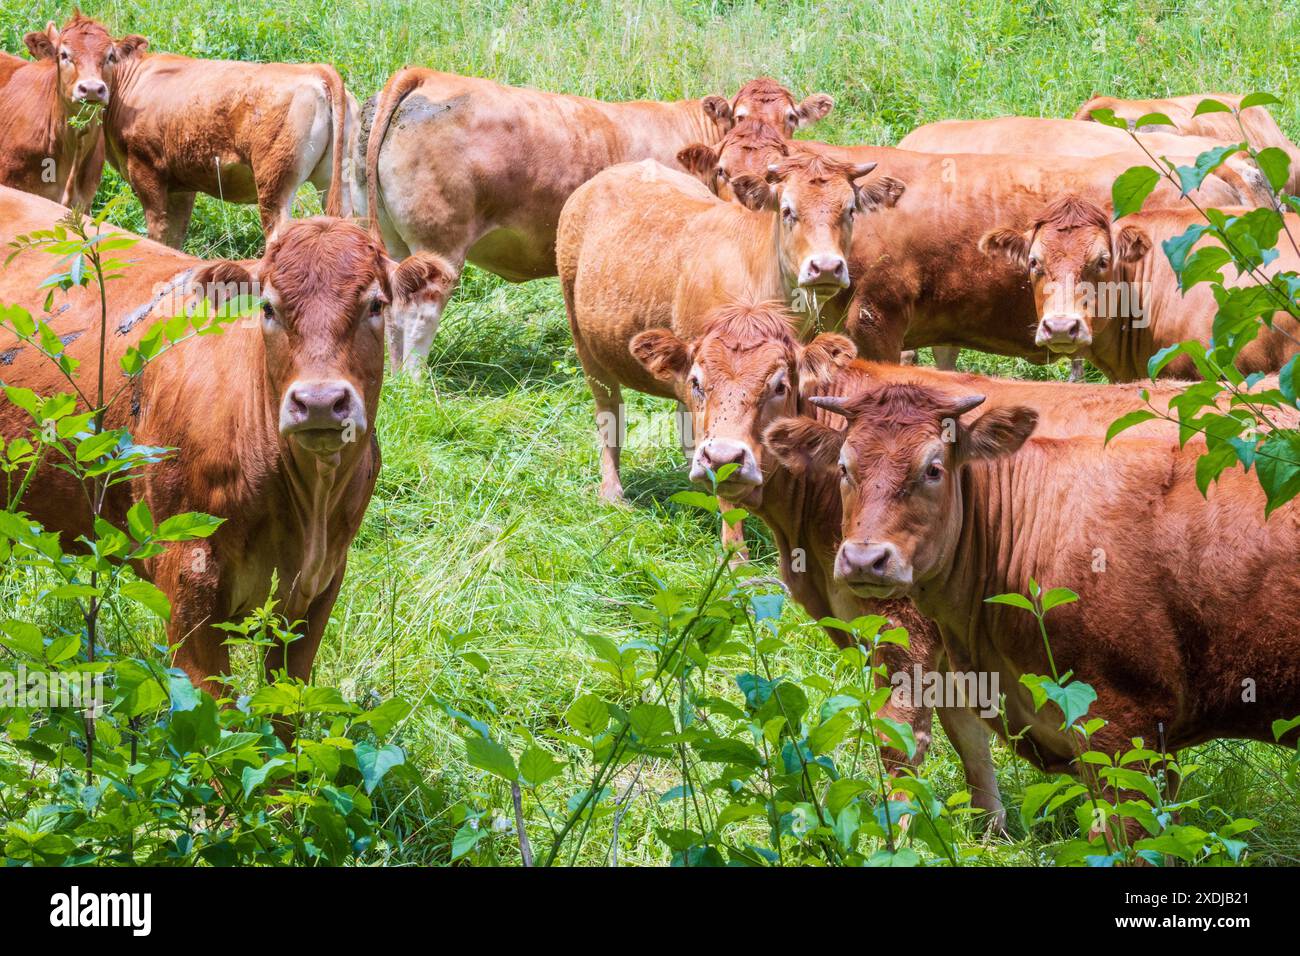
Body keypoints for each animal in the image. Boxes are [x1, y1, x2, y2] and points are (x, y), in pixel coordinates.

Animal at [0, 185, 450, 696]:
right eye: (268, 307)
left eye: (375, 305)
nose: (319, 402)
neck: (309, 507)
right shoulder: (186, 588)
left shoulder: (319, 590)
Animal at [97, 26, 358, 247]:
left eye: (109, 56)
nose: (92, 89)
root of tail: (315, 70)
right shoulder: (181, 185)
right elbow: (175, 236)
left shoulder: (146, 171)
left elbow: (158, 233)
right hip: (338, 182)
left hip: (274, 184)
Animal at [358, 71, 833, 371]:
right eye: (738, 116)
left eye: (791, 117)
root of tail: (427, 75)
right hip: (440, 247)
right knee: (418, 311)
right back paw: (414, 380)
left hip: (399, 245)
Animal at [630, 299, 1225, 827]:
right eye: (697, 382)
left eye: (778, 384)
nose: (723, 459)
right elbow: (967, 731)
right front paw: (991, 826)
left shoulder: (904, 626)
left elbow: (902, 738)